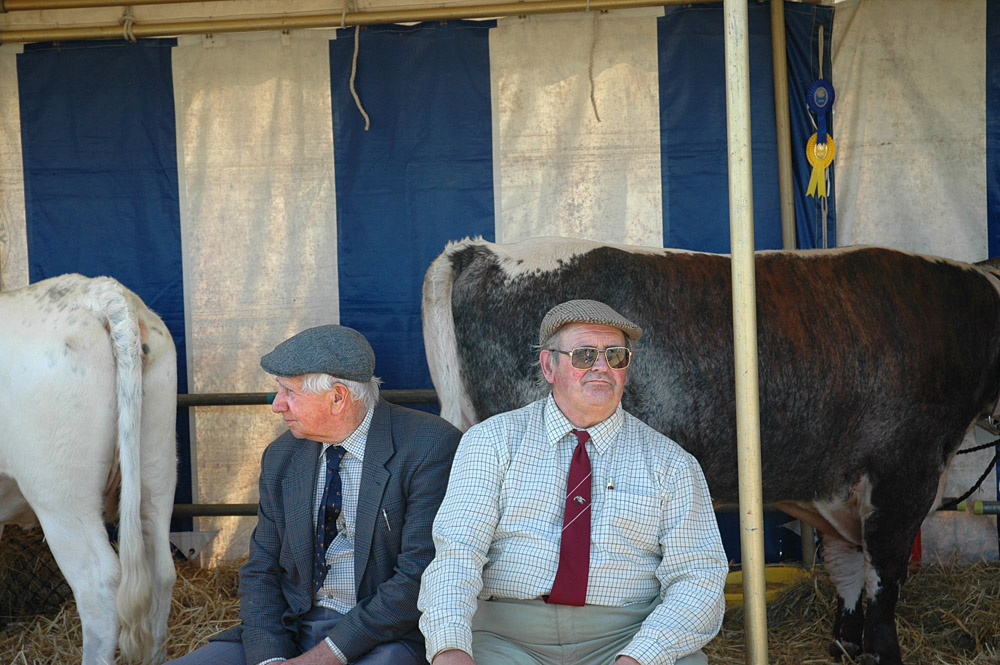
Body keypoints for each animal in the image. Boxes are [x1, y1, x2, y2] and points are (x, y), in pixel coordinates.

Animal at [420, 237, 1000, 664]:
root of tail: (479, 250)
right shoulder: (905, 473)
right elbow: (885, 576)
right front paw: (883, 653)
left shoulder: (837, 482)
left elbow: (848, 570)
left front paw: (844, 645)